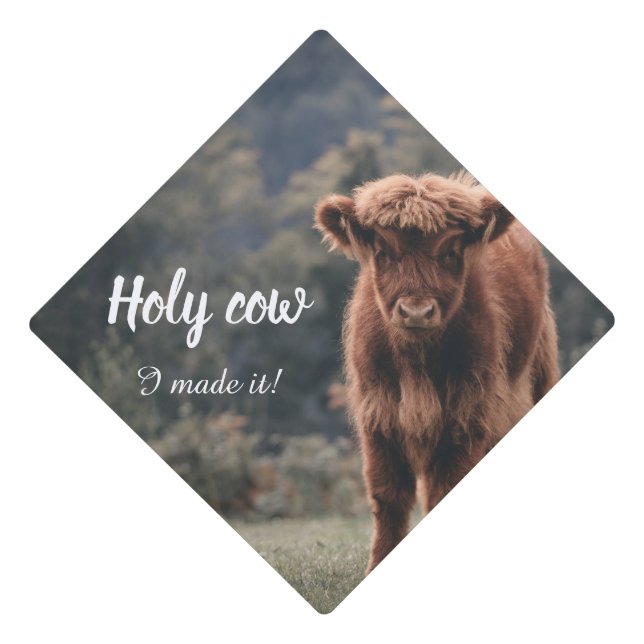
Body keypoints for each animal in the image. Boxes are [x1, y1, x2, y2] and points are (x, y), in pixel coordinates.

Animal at [314, 171, 559, 573]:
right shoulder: (378, 413)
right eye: (383, 253)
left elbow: (445, 489)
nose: (416, 311)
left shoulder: (467, 412)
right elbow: (389, 496)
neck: (417, 364)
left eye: (450, 252)